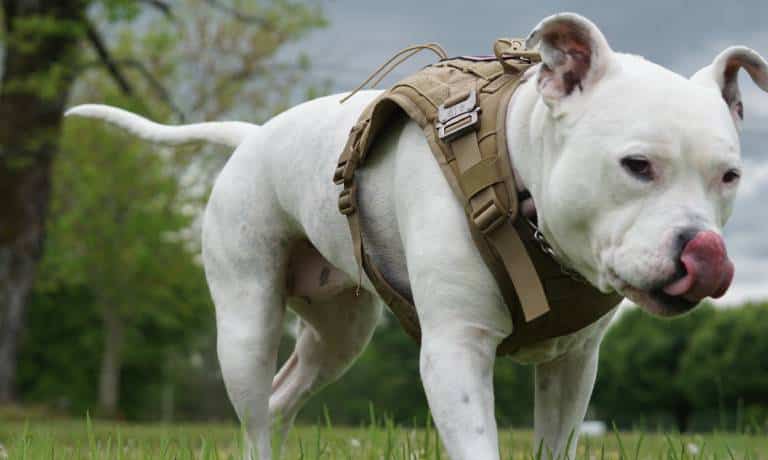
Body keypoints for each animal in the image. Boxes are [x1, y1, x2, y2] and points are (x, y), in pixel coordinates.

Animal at [69, 13, 764, 460]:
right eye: (637, 166)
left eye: (729, 176)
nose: (704, 251)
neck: (518, 179)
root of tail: (253, 136)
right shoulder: (456, 351)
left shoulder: (572, 367)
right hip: (245, 323)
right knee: (257, 413)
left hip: (340, 333)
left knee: (283, 395)